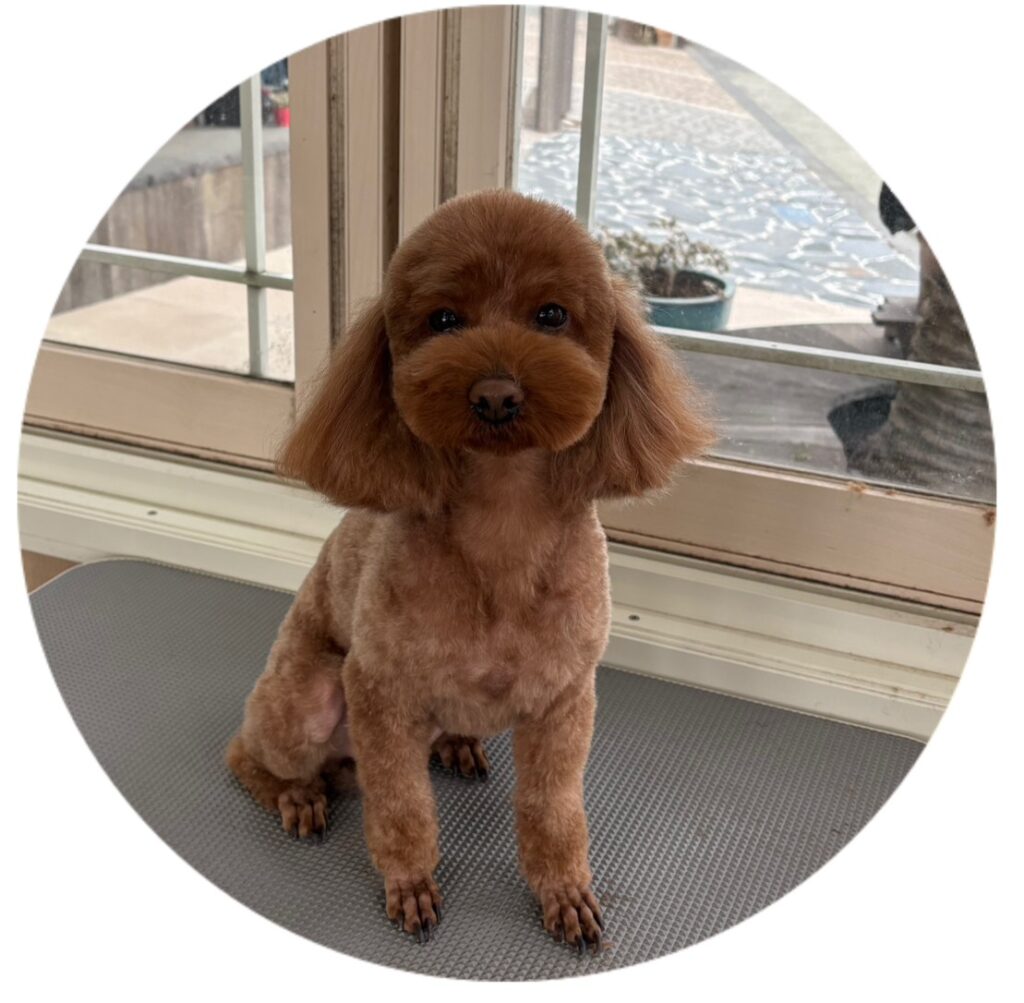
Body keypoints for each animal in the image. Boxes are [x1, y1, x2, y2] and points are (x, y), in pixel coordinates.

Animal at [226, 189, 712, 950]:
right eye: (444, 320)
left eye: (552, 315)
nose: (496, 394)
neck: (503, 524)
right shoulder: (378, 692)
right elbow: (400, 804)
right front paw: (409, 881)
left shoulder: (565, 699)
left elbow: (552, 806)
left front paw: (565, 890)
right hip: (307, 695)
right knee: (247, 753)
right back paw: (298, 794)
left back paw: (455, 743)